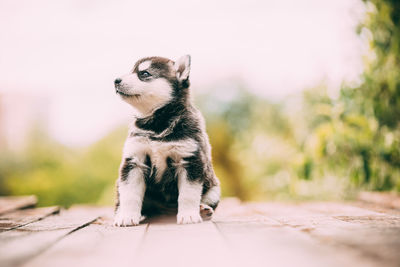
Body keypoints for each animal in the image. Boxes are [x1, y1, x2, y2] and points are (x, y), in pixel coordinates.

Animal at [112, 55, 220, 227]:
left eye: (144, 73)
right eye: (131, 71)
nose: (116, 80)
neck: (157, 123)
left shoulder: (189, 159)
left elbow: (188, 194)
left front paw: (189, 215)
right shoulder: (134, 160)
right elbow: (130, 194)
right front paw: (126, 216)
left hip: (214, 188)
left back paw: (203, 210)